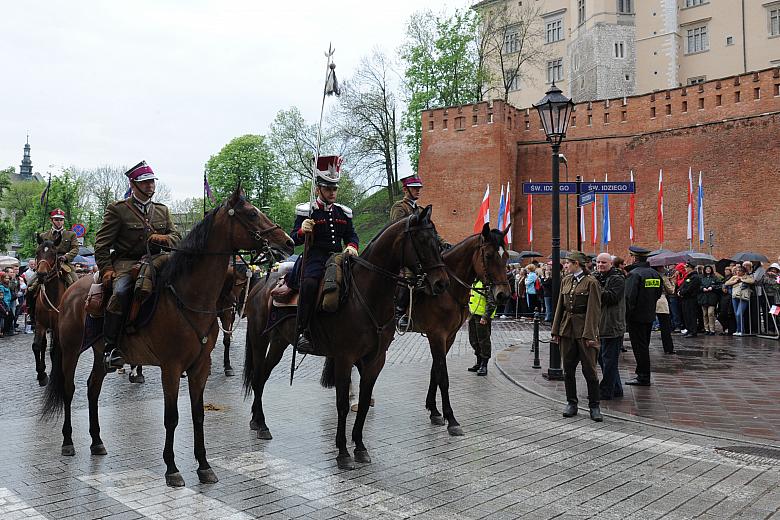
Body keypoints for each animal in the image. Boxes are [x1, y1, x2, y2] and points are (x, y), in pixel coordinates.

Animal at [30, 235, 68, 386]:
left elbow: (54, 350)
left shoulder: (57, 327)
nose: (41, 274)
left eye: (54, 253)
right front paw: (41, 374)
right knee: (43, 344)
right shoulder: (40, 324)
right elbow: (36, 346)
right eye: (37, 252)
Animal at [42, 187, 292, 488]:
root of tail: (71, 292)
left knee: (92, 388)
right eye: (252, 214)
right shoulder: (171, 368)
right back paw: (68, 441)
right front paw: (172, 468)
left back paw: (97, 441)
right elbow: (171, 417)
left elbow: (198, 414)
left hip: (100, 353)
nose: (289, 242)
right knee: (69, 390)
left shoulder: (200, 367)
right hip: (70, 350)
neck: (187, 297)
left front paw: (204, 465)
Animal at [244, 205, 450, 470]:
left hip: (280, 342)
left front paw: (360, 447)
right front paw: (342, 452)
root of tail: (262, 282)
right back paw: (260, 424)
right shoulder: (344, 357)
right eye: (423, 241)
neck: (366, 296)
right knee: (258, 376)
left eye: (438, 241)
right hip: (259, 340)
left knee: (263, 376)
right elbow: (342, 404)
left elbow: (363, 402)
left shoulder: (374, 359)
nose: (441, 283)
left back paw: (259, 422)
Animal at [414, 223, 512, 434]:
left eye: (507, 255)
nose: (504, 295)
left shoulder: (448, 337)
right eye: (489, 255)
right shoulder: (437, 335)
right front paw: (451, 419)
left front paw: (434, 411)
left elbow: (435, 371)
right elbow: (443, 376)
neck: (448, 289)